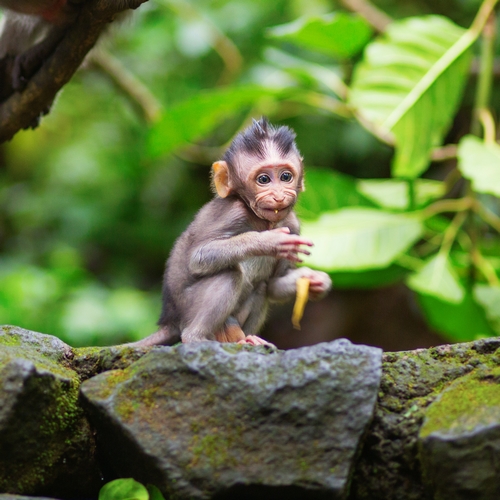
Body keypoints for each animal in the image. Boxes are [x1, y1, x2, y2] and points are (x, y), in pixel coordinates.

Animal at [138, 117, 332, 346]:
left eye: (286, 176)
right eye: (263, 180)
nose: (278, 196)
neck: (260, 220)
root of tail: (170, 320)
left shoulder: (292, 225)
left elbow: (274, 285)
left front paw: (317, 281)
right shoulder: (232, 212)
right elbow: (198, 257)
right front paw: (267, 242)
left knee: (261, 288)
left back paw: (249, 339)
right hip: (188, 307)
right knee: (229, 274)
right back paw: (196, 338)